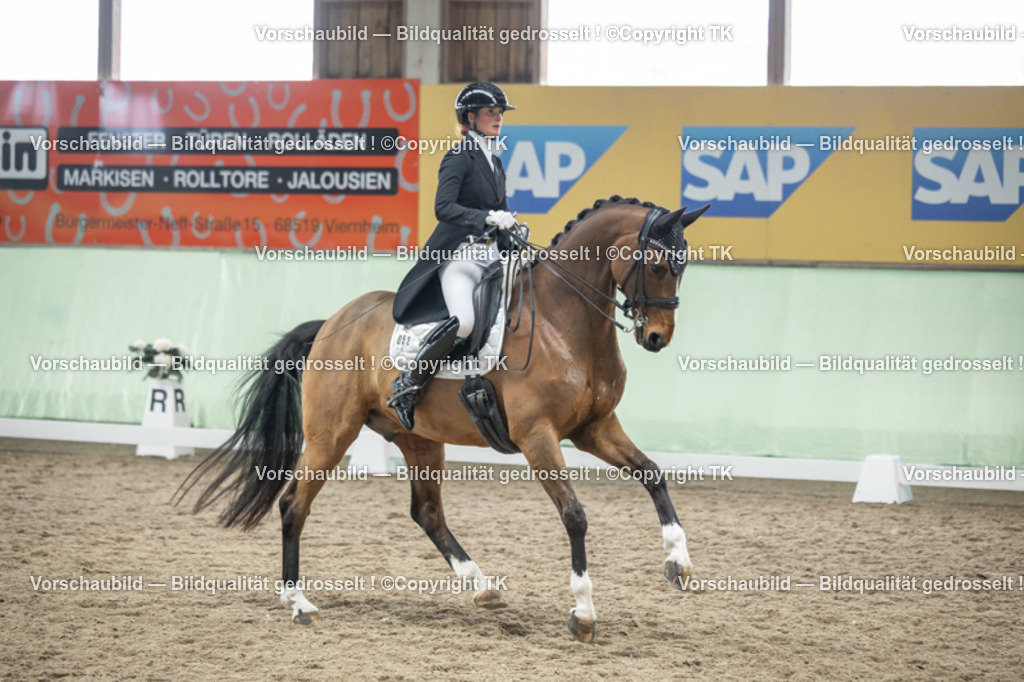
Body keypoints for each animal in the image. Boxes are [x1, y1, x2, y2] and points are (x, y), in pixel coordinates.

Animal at [177, 196, 711, 642]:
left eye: (683, 266)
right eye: (658, 265)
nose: (657, 337)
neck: (566, 323)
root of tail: (333, 323)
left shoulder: (595, 428)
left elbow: (652, 475)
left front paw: (678, 563)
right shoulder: (538, 437)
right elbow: (575, 515)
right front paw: (582, 612)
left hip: (419, 439)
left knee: (427, 513)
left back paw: (482, 585)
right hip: (331, 435)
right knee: (294, 505)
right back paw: (299, 603)